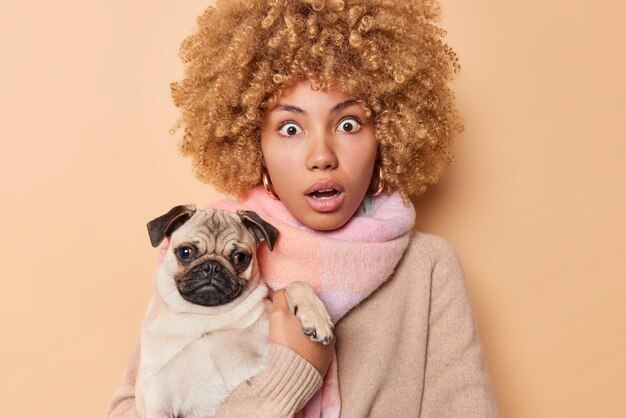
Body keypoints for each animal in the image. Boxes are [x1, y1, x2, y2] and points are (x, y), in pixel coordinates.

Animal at [135, 205, 334, 418]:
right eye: (185, 252)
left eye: (240, 258)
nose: (212, 267)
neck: (206, 316)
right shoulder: (156, 396)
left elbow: (296, 284)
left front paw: (316, 318)